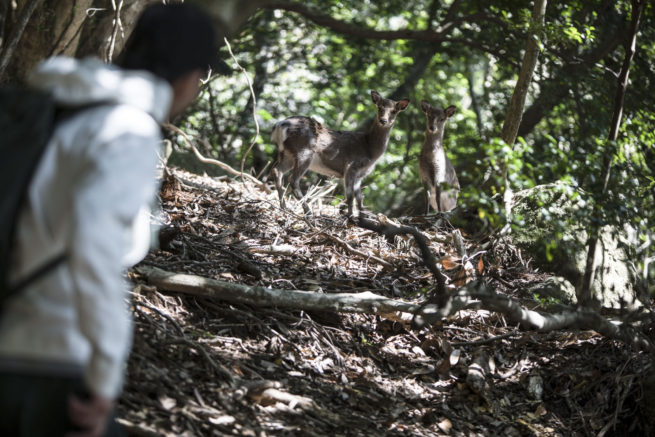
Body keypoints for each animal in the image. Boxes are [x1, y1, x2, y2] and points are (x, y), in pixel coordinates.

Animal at [270, 90, 410, 216]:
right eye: (379, 107)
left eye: (394, 111)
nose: (383, 120)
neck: (370, 150)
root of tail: (280, 125)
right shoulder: (351, 166)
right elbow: (349, 195)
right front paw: (350, 216)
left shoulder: (360, 175)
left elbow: (360, 197)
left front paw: (362, 216)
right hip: (304, 152)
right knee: (293, 180)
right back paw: (308, 211)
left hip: (287, 154)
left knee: (277, 170)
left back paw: (284, 207)